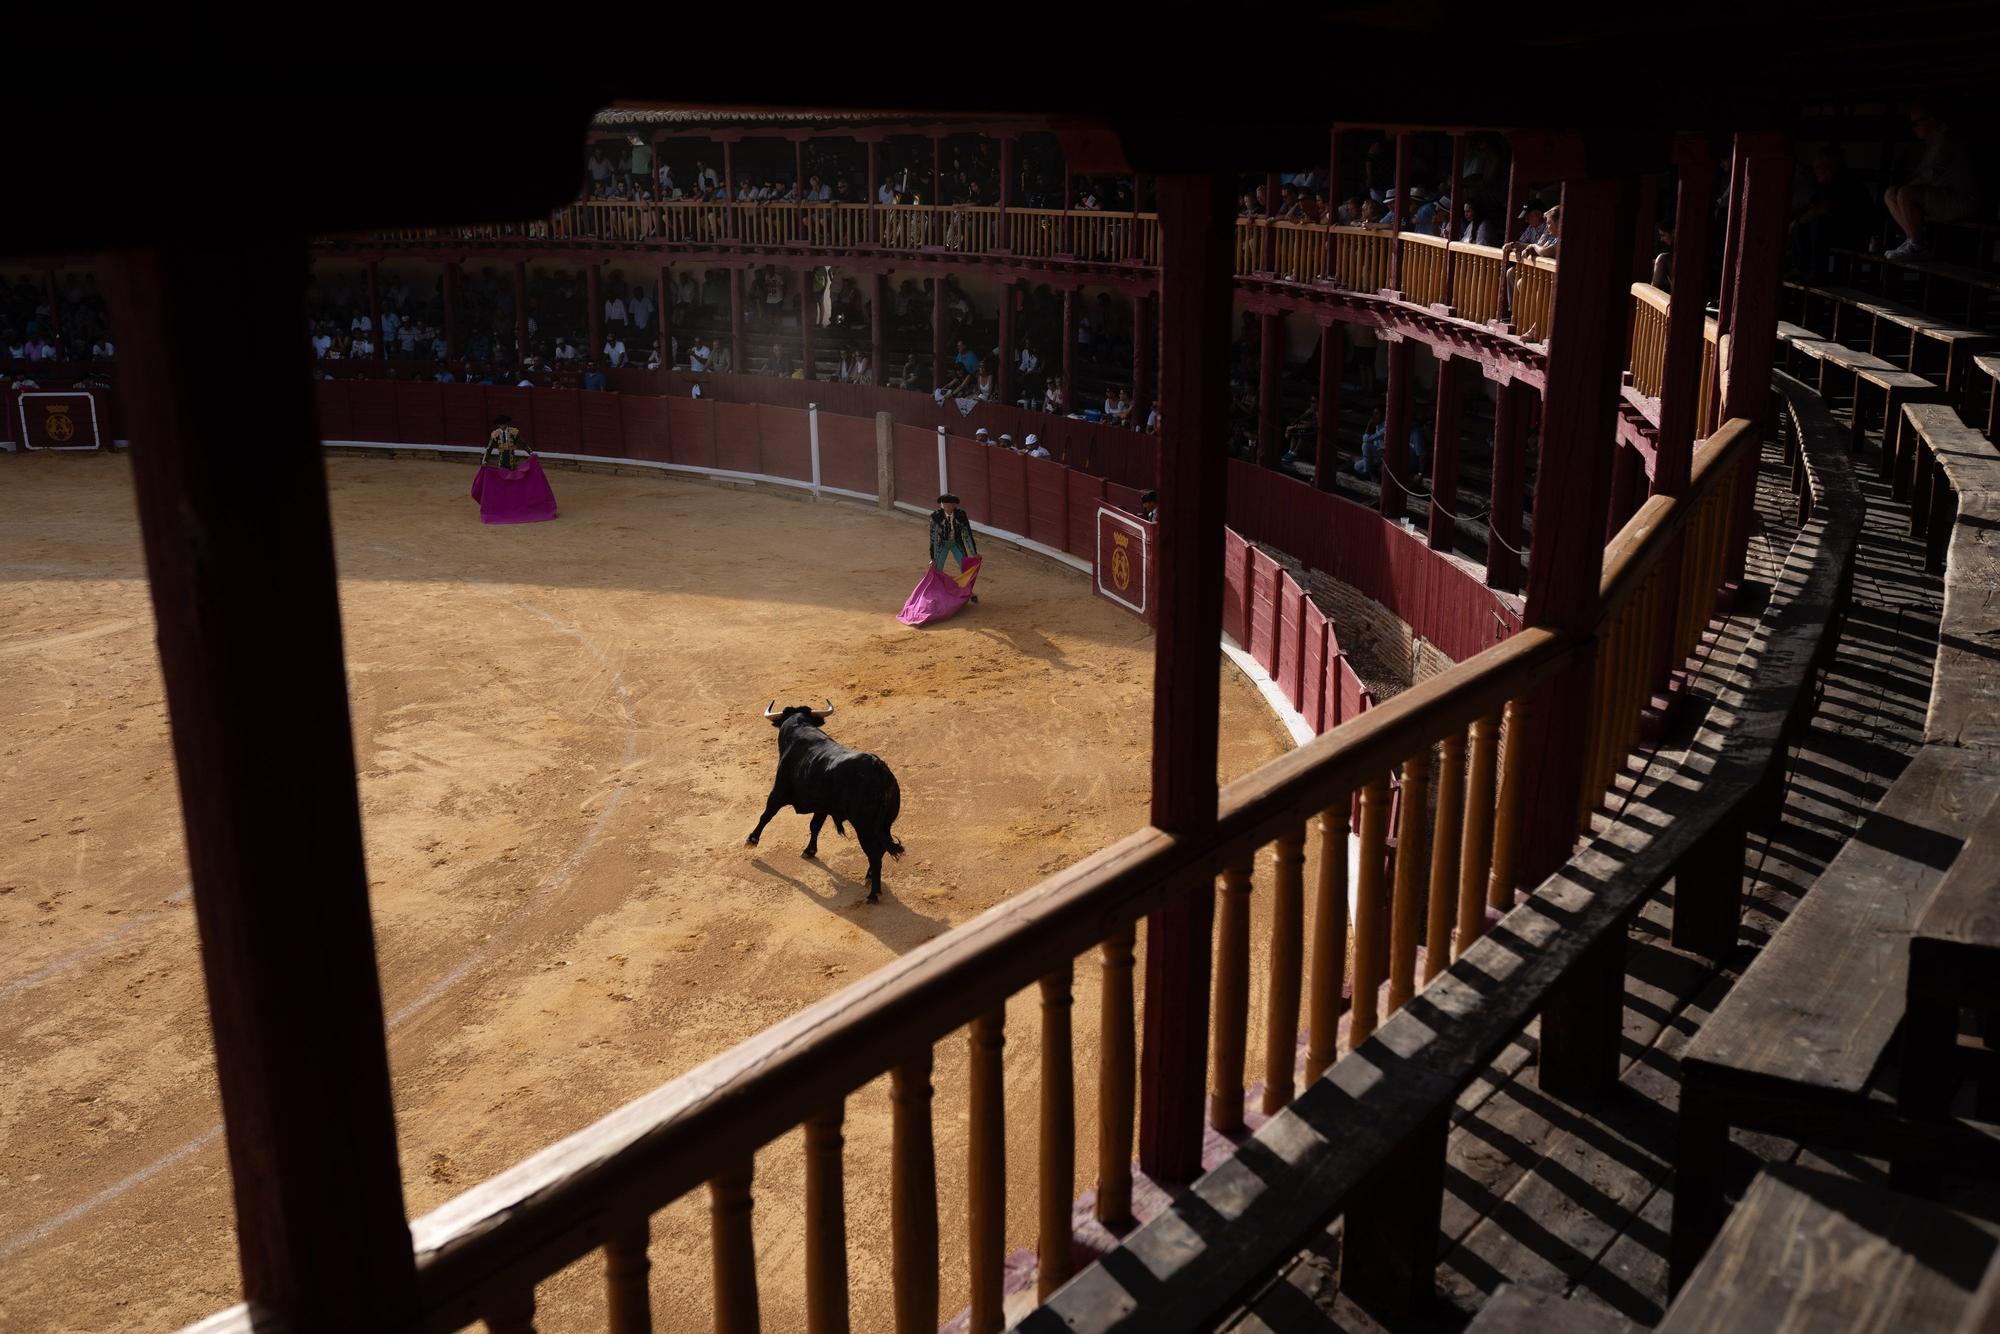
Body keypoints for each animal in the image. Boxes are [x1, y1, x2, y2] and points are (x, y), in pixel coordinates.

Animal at [752, 704, 908, 904]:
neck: (799, 726)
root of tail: (880, 770)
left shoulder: (778, 792)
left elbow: (766, 815)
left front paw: (751, 839)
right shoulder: (822, 807)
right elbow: (815, 826)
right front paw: (810, 850)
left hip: (864, 827)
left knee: (874, 853)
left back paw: (873, 894)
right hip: (885, 825)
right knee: (880, 849)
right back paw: (870, 877)